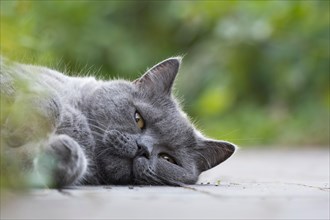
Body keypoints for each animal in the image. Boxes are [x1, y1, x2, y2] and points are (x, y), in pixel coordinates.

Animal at [0, 56, 237, 187]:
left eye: (168, 159)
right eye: (138, 119)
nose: (143, 149)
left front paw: (60, 154)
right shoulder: (18, 75)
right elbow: (53, 101)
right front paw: (18, 130)